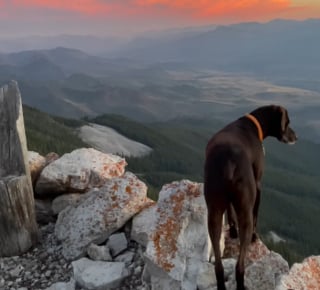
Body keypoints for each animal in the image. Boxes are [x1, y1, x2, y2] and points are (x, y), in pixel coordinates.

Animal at [204, 105, 296, 290]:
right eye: (288, 122)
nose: (296, 137)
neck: (253, 125)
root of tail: (228, 161)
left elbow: (230, 212)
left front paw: (232, 230)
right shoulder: (259, 185)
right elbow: (256, 216)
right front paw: (255, 236)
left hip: (213, 212)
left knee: (219, 266)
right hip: (245, 209)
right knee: (240, 266)